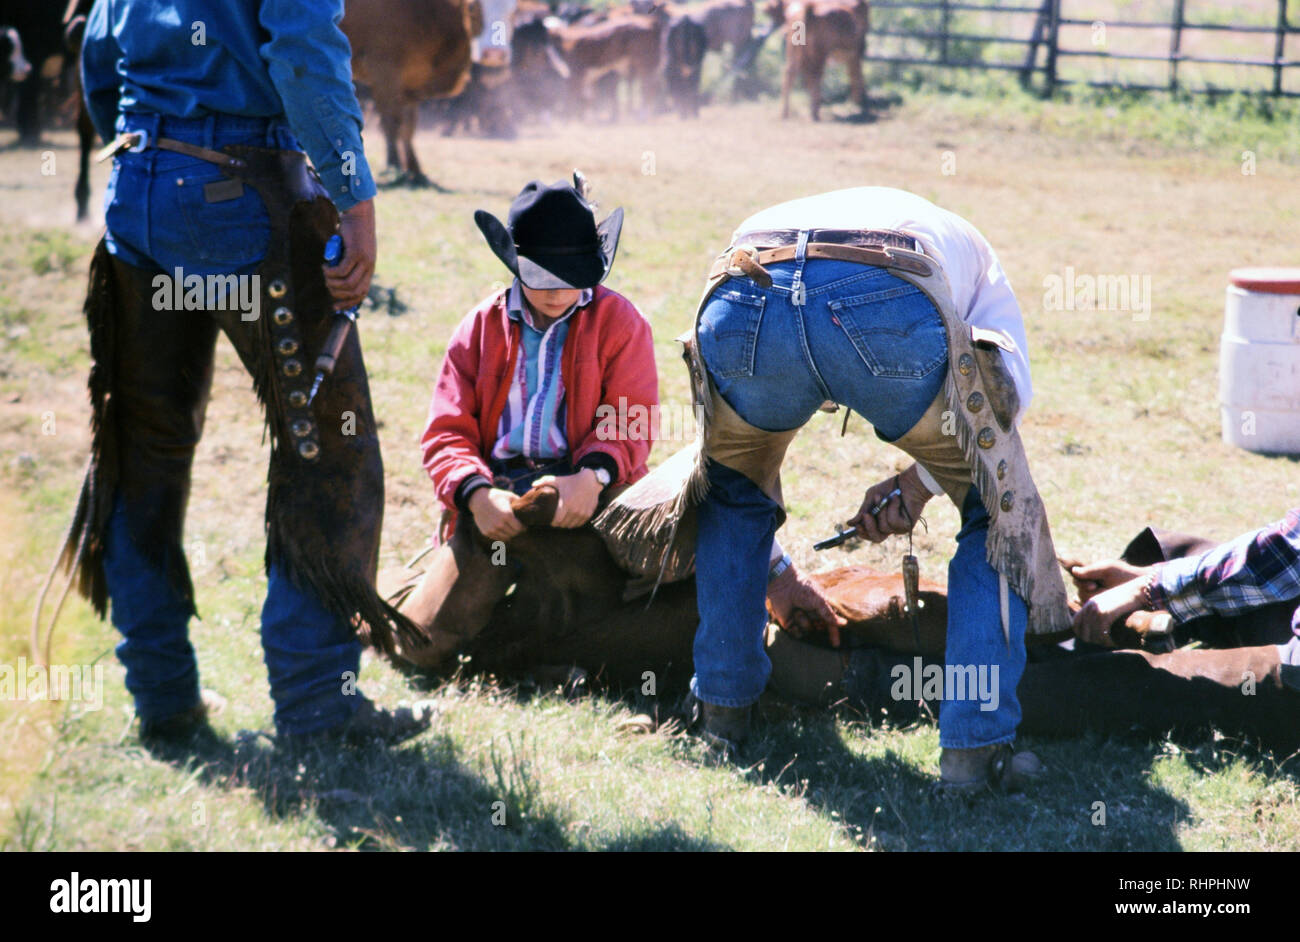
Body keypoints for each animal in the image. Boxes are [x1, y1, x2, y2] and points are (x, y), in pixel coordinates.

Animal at [345, 0, 483, 185]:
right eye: (473, 9)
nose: (497, 54)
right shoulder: (384, 71)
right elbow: (392, 121)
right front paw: (394, 165)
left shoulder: (408, 87)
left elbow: (408, 126)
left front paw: (415, 170)